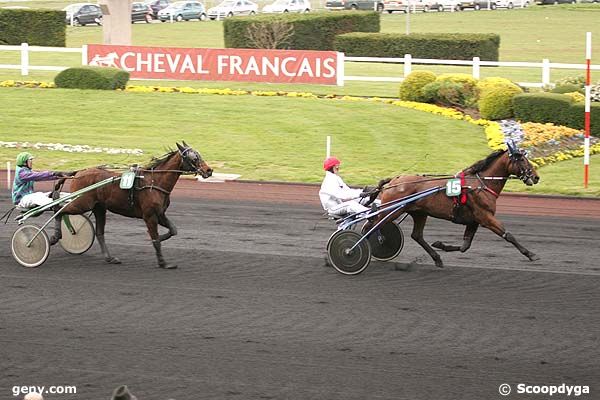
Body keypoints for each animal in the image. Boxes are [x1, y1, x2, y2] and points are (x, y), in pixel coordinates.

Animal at [50, 142, 213, 270]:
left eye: (199, 155)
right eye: (194, 158)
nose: (209, 170)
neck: (155, 182)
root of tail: (78, 172)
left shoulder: (160, 214)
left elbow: (173, 230)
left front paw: (161, 237)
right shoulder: (149, 216)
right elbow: (156, 240)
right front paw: (163, 262)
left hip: (99, 208)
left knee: (99, 233)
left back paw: (110, 258)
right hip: (82, 203)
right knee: (59, 210)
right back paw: (55, 236)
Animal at [372, 141, 540, 268]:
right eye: (522, 159)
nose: (536, 177)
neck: (481, 184)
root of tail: (394, 180)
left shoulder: (474, 221)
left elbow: (465, 246)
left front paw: (440, 244)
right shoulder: (485, 217)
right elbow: (508, 235)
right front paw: (531, 254)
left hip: (419, 213)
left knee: (417, 235)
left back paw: (437, 258)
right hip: (392, 211)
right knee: (372, 226)